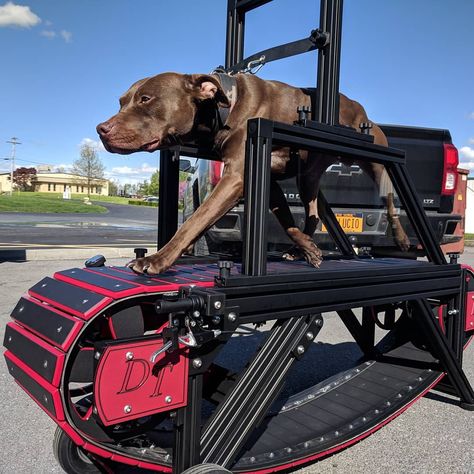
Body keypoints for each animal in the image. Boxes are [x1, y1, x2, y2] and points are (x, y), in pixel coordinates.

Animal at [98, 73, 410, 274]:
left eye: (146, 99)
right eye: (121, 102)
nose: (101, 129)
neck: (225, 106)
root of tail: (357, 105)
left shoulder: (235, 176)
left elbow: (196, 219)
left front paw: (158, 259)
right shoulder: (267, 181)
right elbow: (288, 222)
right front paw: (308, 249)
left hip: (376, 161)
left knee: (390, 199)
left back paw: (402, 238)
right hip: (308, 174)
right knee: (312, 213)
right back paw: (299, 249)